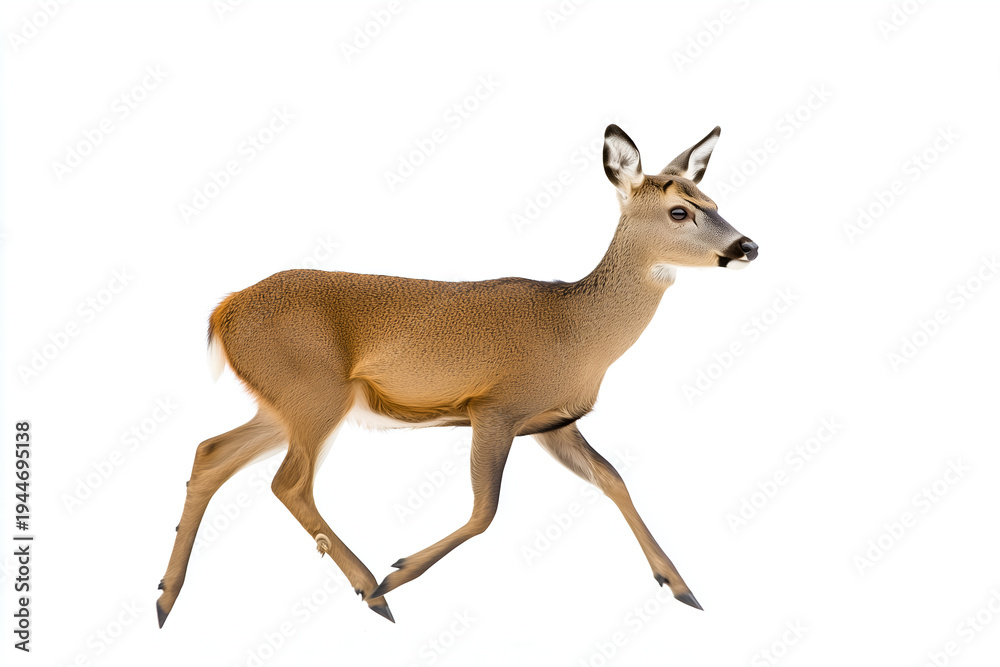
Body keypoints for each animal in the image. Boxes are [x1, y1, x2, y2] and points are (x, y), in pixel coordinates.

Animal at [155, 124, 758, 627]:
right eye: (680, 211)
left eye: (713, 201)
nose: (747, 245)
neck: (577, 333)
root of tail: (224, 310)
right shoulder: (494, 408)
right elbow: (485, 510)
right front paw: (399, 570)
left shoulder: (554, 422)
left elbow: (613, 479)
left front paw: (680, 585)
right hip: (314, 392)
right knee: (288, 483)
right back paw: (371, 590)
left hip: (283, 403)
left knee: (211, 453)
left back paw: (166, 596)